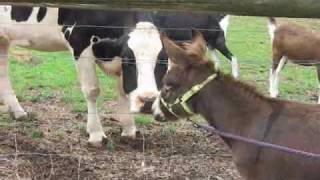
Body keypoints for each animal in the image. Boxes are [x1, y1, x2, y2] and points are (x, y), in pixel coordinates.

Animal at [0, 5, 235, 146]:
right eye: (130, 59)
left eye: (162, 60)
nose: (147, 101)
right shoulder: (80, 40)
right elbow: (92, 91)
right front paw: (96, 134)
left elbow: (123, 91)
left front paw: (129, 130)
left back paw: (18, 111)